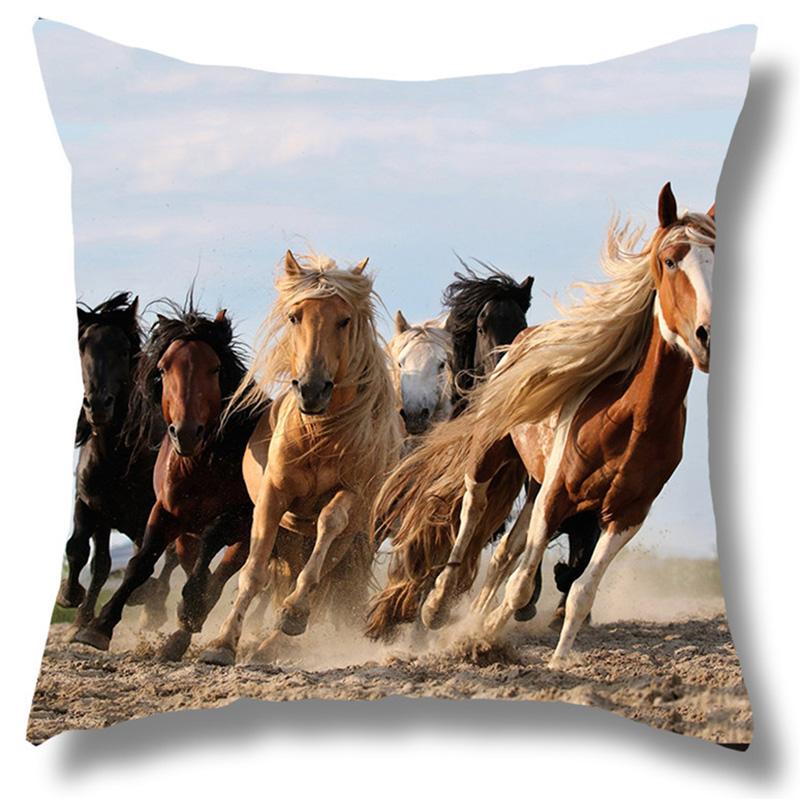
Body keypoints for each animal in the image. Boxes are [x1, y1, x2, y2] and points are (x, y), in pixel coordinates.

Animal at [57, 293, 177, 633]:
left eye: (123, 350)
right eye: (82, 346)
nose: (97, 405)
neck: (117, 457)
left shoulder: (149, 513)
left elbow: (146, 557)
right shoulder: (92, 505)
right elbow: (84, 552)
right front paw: (74, 605)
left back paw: (153, 607)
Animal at [73, 301, 259, 660]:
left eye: (215, 369)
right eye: (163, 368)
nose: (185, 432)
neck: (202, 464)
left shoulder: (239, 516)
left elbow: (211, 545)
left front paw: (189, 607)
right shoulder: (163, 512)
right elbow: (139, 563)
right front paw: (97, 627)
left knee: (221, 575)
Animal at [199, 251, 402, 666]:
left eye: (344, 320)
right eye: (295, 317)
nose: (311, 389)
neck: (319, 436)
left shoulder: (351, 495)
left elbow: (328, 525)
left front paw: (293, 613)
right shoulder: (273, 498)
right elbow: (253, 572)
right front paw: (222, 643)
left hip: (349, 541)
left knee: (321, 580)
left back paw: (277, 639)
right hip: (293, 536)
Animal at [371, 183, 715, 668]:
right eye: (670, 260)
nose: (705, 336)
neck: (631, 418)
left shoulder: (626, 513)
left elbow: (579, 589)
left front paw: (553, 658)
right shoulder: (556, 492)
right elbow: (516, 580)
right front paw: (476, 634)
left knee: (506, 554)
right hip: (491, 455)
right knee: (472, 510)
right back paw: (439, 604)